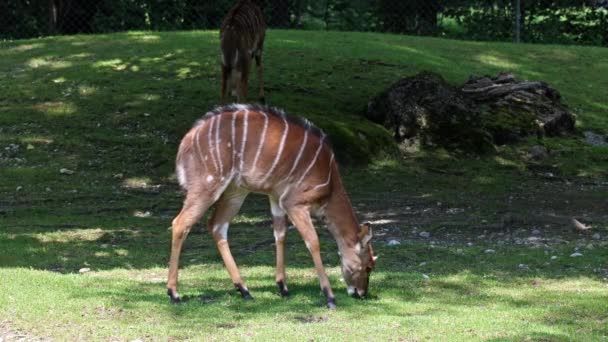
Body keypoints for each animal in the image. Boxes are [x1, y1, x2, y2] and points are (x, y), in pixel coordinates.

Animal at [166, 103, 376, 308]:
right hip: (208, 185)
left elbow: (280, 234)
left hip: (236, 190)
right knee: (180, 223)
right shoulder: (295, 203)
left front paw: (283, 288)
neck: (329, 183)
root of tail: (186, 141)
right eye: (368, 266)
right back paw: (174, 293)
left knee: (217, 225)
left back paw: (244, 290)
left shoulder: (276, 197)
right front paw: (330, 297)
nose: (361, 293)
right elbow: (313, 241)